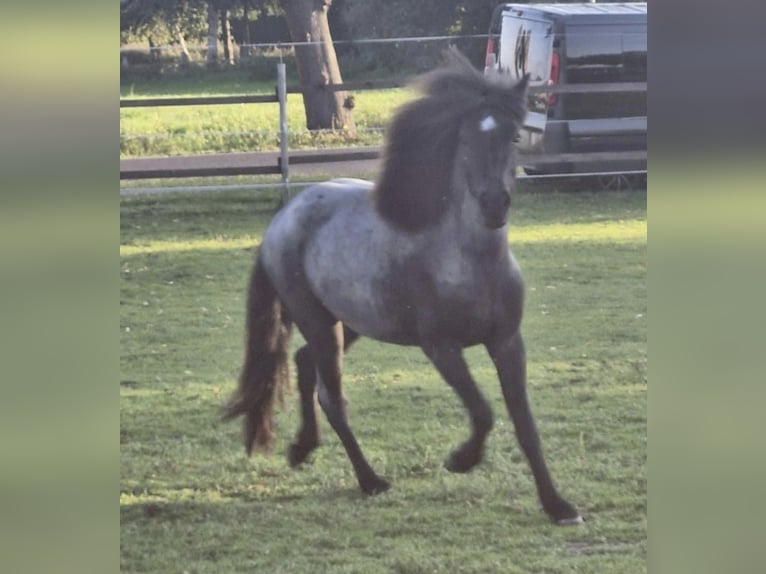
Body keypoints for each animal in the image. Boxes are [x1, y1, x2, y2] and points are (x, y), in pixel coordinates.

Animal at [224, 49, 582, 525]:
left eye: (513, 137)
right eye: (466, 139)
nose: (493, 205)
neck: (470, 262)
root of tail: (282, 219)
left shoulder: (508, 342)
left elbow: (525, 424)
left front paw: (558, 506)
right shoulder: (441, 348)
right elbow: (483, 411)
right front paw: (461, 460)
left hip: (349, 321)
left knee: (303, 365)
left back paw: (303, 448)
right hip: (317, 320)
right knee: (332, 396)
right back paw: (370, 480)